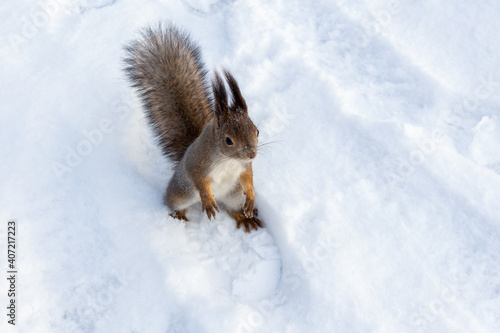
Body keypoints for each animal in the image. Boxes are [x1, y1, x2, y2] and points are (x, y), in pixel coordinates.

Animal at [123, 23, 264, 231]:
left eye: (257, 131)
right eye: (228, 140)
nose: (252, 154)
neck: (227, 159)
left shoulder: (244, 167)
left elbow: (248, 179)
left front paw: (252, 197)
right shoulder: (198, 163)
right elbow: (200, 180)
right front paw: (208, 201)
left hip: (234, 195)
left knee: (233, 209)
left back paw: (244, 217)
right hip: (182, 192)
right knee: (175, 203)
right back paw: (179, 215)